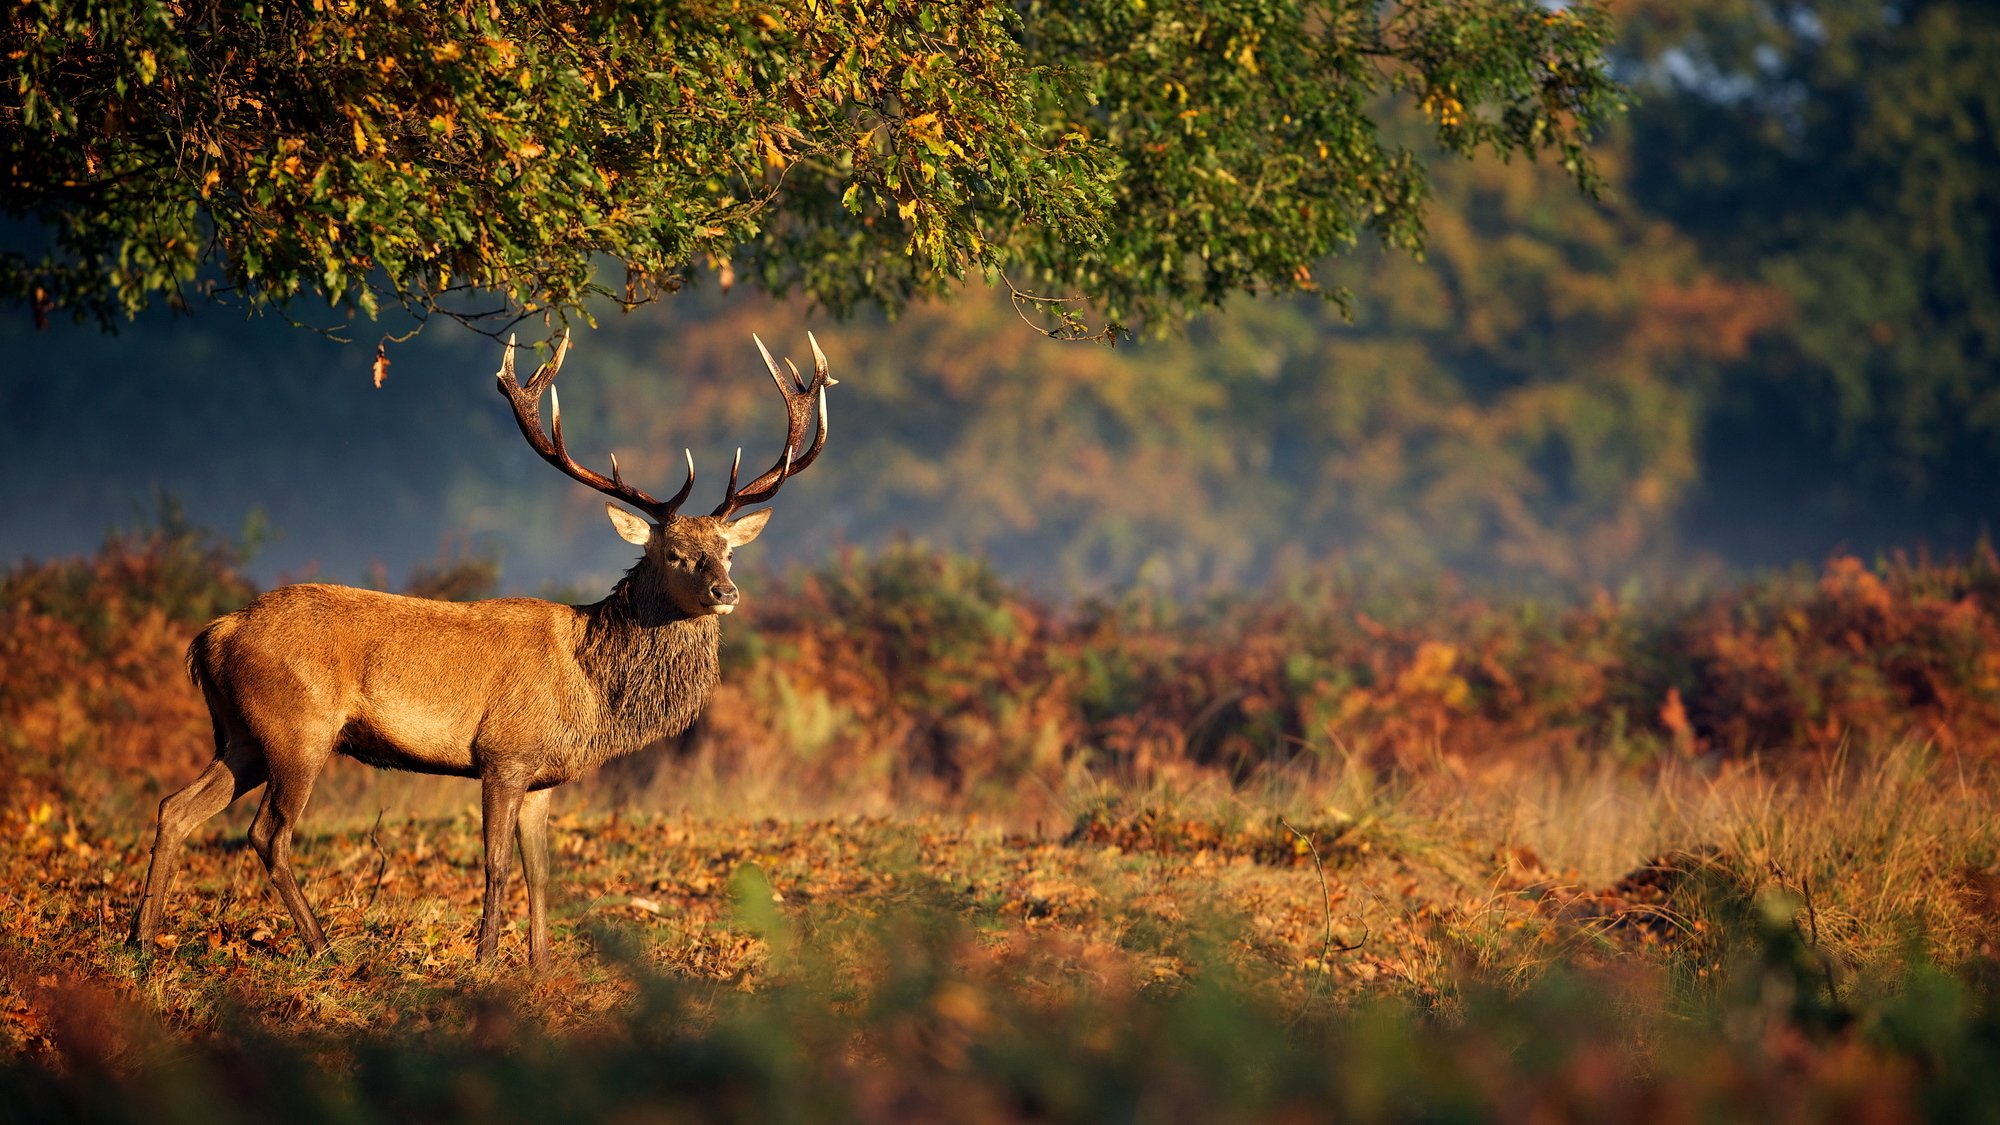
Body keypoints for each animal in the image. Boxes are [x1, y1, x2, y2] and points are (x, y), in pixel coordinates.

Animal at [129, 330, 834, 967]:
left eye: (728, 549)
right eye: (675, 552)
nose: (725, 590)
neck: (590, 687)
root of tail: (213, 635)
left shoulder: (545, 775)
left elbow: (540, 872)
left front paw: (542, 966)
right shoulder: (502, 754)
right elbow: (494, 863)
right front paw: (488, 959)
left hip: (242, 735)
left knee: (176, 808)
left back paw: (142, 940)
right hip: (297, 728)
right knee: (268, 833)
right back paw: (324, 947)